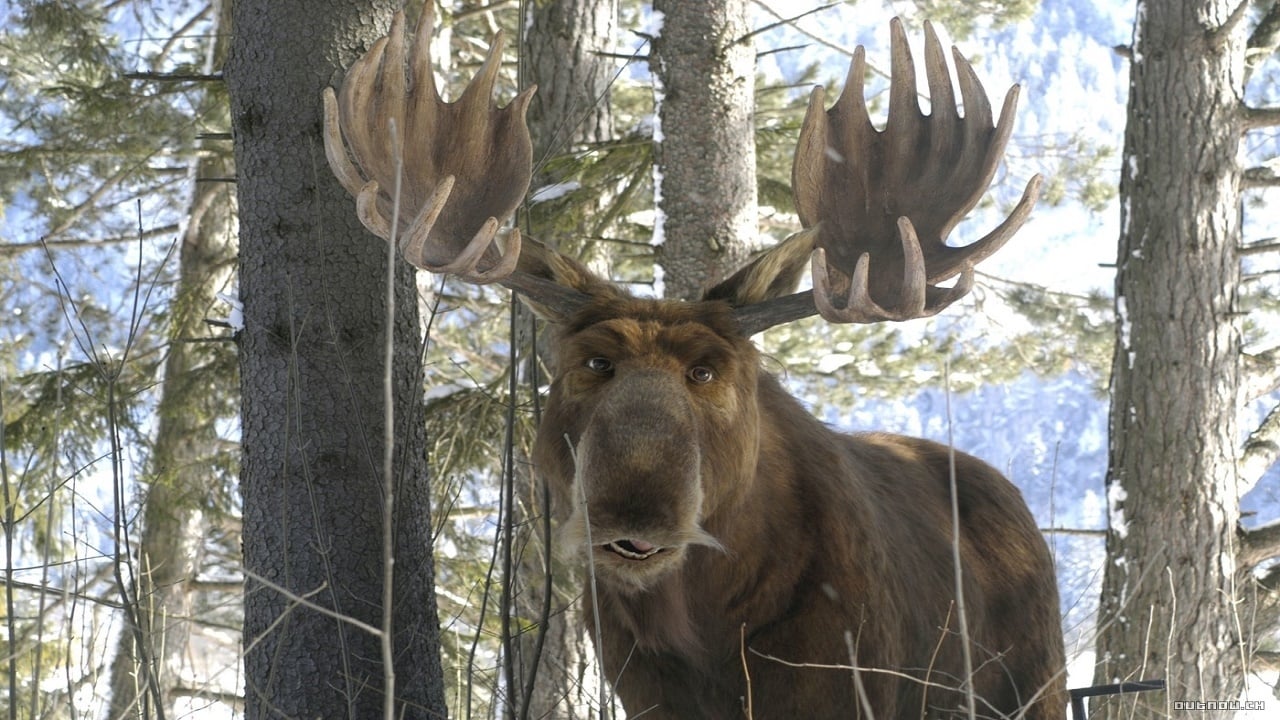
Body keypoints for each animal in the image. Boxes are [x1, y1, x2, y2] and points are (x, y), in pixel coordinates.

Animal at [325, 7, 1064, 717]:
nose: (634, 511)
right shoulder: (642, 684)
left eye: (707, 372)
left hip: (1033, 683)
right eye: (592, 363)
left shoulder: (844, 679)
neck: (702, 627)